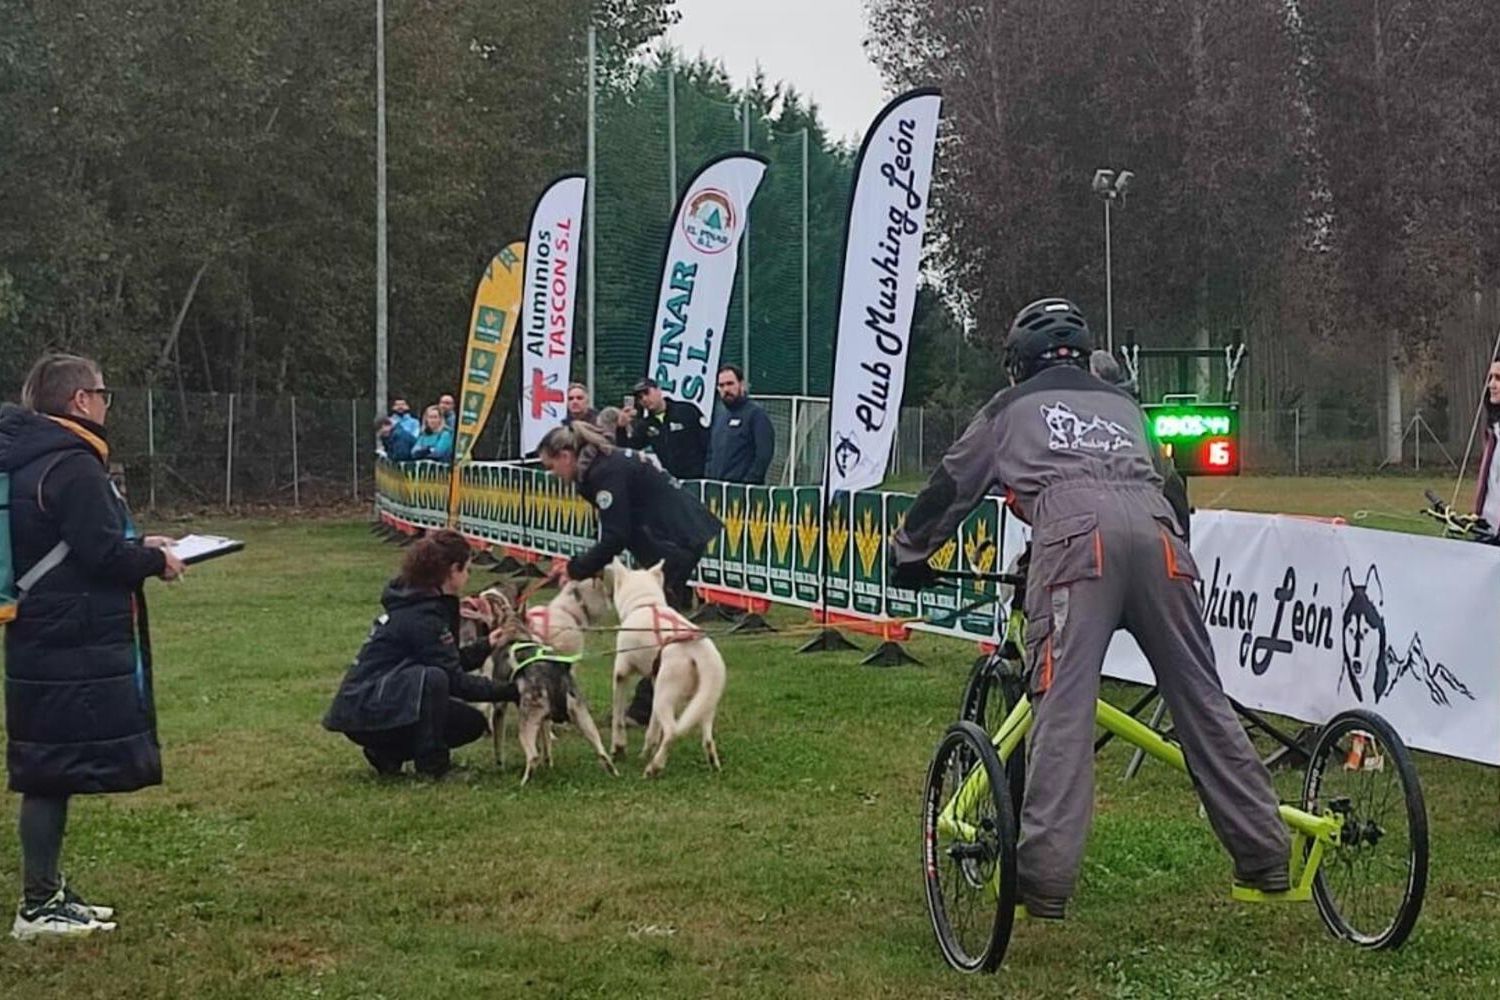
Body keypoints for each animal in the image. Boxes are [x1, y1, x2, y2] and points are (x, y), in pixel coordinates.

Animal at [597, 560, 726, 779]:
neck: (645, 603)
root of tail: (698, 649)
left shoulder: (621, 674)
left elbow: (618, 718)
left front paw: (618, 749)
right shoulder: (654, 680)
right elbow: (653, 728)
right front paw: (645, 751)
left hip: (665, 697)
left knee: (673, 731)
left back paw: (655, 766)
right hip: (703, 701)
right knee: (707, 737)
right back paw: (712, 762)